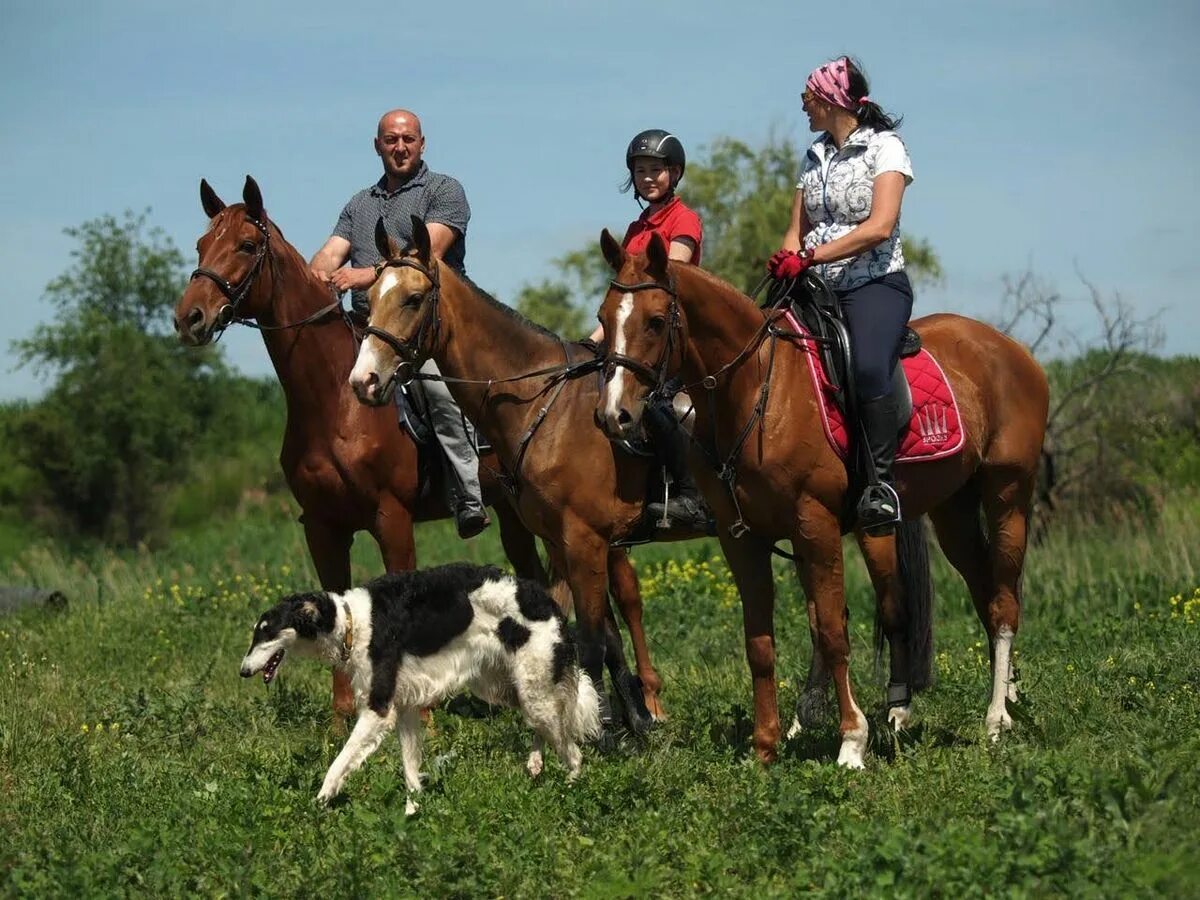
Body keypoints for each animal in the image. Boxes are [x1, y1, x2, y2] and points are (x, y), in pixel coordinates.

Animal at [174, 180, 566, 724]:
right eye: (200, 245)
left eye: (247, 246)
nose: (189, 317)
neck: (336, 404)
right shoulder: (323, 528)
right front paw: (342, 711)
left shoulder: (392, 518)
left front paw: (421, 711)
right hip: (511, 514)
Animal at [241, 564, 600, 811]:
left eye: (266, 632)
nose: (243, 671)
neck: (351, 622)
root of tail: (549, 603)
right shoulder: (406, 709)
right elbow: (411, 773)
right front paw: (412, 813)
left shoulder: (379, 709)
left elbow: (338, 763)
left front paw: (319, 801)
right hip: (507, 688)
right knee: (545, 728)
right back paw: (535, 763)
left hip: (533, 689)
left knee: (574, 752)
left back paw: (569, 788)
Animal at [348, 217, 705, 734]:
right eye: (371, 297)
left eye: (413, 299)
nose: (364, 382)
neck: (546, 407)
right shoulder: (567, 542)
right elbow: (608, 637)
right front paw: (632, 725)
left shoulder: (585, 541)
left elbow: (592, 640)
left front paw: (599, 733)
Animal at [595, 232, 1046, 768]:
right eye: (604, 318)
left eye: (656, 321)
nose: (614, 416)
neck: (756, 391)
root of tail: (1011, 349)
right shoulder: (740, 538)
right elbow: (759, 642)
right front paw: (765, 746)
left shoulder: (816, 525)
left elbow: (832, 631)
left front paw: (851, 741)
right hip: (952, 509)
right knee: (983, 591)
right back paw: (1001, 696)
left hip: (1007, 496)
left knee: (1003, 602)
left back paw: (995, 719)